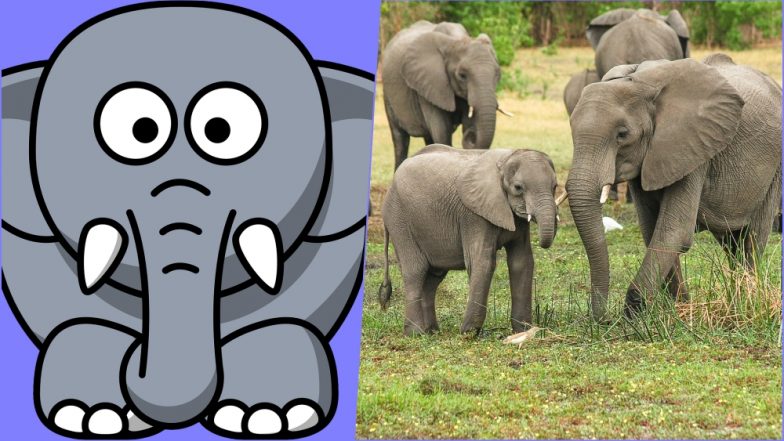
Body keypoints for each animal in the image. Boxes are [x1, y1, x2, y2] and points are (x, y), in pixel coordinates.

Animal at [378, 145, 562, 335]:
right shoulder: (474, 215)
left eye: (554, 186)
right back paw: (415, 333)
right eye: (518, 187)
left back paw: (432, 331)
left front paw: (523, 331)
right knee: (415, 271)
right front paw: (469, 333)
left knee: (433, 277)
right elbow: (483, 261)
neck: (505, 160)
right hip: (399, 220)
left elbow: (522, 262)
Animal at [381, 20, 509, 170]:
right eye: (462, 75)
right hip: (387, 94)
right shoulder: (429, 84)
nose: (471, 135)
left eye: (498, 74)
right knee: (400, 139)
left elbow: (466, 123)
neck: (456, 40)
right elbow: (441, 131)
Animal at [565, 55, 782, 321]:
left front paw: (633, 316)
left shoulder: (694, 149)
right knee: (732, 241)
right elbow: (652, 230)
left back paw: (747, 301)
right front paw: (679, 309)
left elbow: (674, 231)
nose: (603, 319)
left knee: (753, 237)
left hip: (774, 167)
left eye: (622, 134)